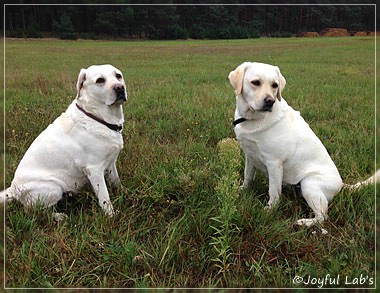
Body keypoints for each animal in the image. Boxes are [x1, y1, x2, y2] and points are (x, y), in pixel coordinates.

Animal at [0, 64, 127, 216]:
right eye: (100, 80)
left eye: (118, 76)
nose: (120, 88)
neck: (98, 117)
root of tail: (12, 189)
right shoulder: (94, 169)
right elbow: (105, 198)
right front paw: (111, 217)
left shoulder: (110, 163)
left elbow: (117, 182)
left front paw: (124, 193)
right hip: (53, 187)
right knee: (35, 211)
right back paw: (60, 216)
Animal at [227, 61, 378, 226]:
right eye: (255, 82)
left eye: (275, 85)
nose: (270, 101)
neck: (251, 119)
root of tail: (341, 184)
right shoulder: (249, 155)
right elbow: (247, 176)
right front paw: (242, 190)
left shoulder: (274, 164)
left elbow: (273, 192)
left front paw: (269, 211)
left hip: (309, 183)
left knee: (323, 216)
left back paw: (303, 223)